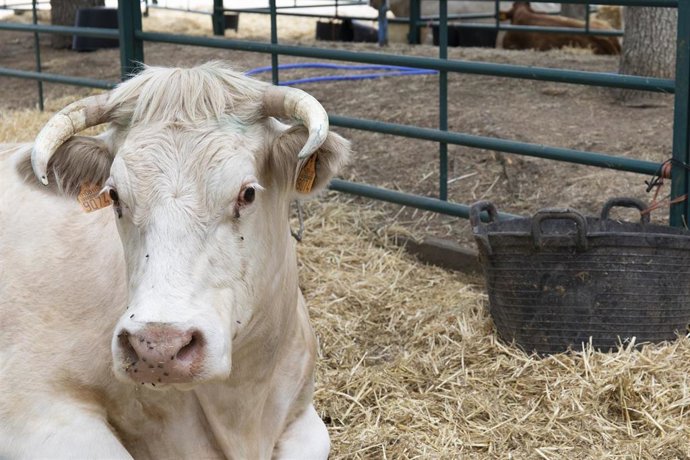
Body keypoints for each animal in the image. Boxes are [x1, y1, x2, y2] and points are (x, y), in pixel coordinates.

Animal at [0, 62, 350, 459]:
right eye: (114, 196)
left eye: (247, 193)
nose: (158, 347)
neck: (243, 411)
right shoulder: (28, 407)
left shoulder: (304, 415)